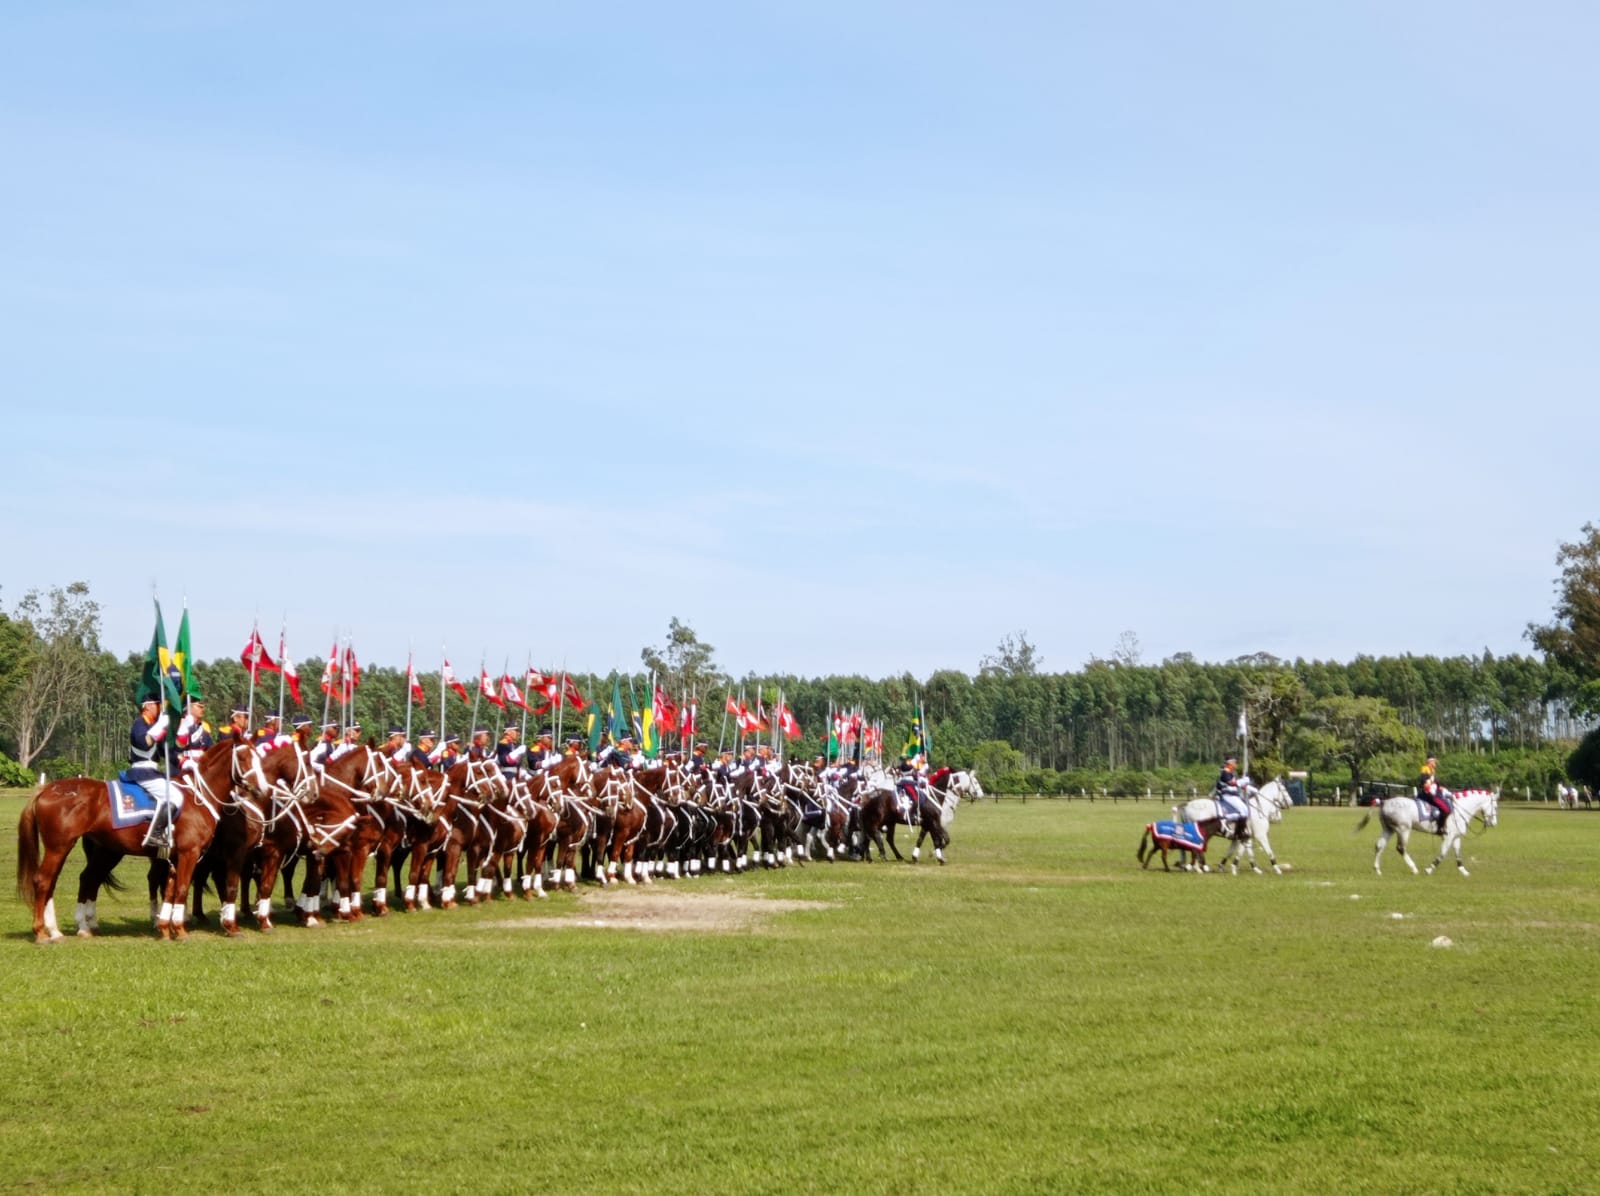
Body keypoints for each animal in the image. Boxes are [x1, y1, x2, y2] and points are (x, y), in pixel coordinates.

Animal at [17, 738, 272, 946]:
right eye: (243, 758)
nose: (263, 789)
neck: (197, 796)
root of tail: (46, 789)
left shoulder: (175, 857)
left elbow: (170, 890)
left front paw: (166, 928)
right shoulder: (190, 854)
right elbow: (183, 888)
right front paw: (181, 930)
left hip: (87, 850)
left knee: (73, 881)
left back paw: (65, 930)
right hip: (59, 847)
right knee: (43, 881)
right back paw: (42, 932)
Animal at [1350, 789, 1497, 876]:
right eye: (1495, 806)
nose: (1494, 823)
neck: (1458, 809)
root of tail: (1384, 802)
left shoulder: (1455, 837)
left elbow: (1457, 853)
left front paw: (1463, 870)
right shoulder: (1448, 836)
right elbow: (1443, 853)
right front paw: (1430, 868)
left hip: (1388, 829)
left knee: (1379, 846)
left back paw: (1377, 869)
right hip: (1403, 829)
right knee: (1401, 848)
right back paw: (1414, 868)